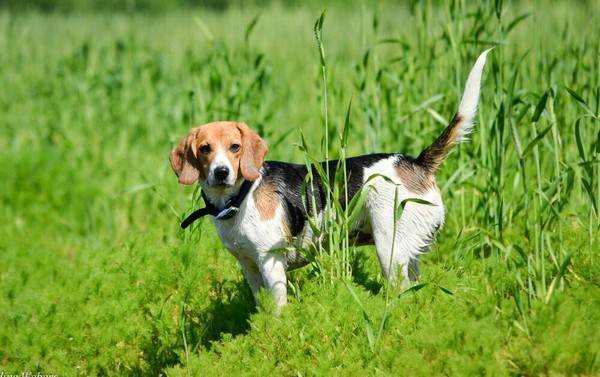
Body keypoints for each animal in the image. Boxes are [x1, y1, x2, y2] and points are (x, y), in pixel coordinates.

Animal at [170, 50, 492, 308]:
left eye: (235, 147)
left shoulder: (271, 263)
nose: (221, 172)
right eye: (205, 149)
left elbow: (277, 310)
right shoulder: (248, 266)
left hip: (390, 249)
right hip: (405, 250)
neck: (240, 197)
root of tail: (415, 162)